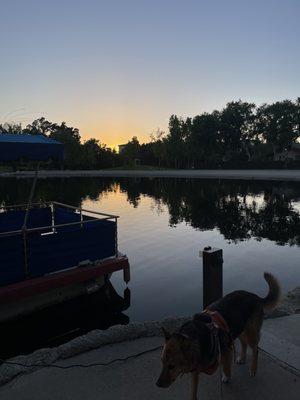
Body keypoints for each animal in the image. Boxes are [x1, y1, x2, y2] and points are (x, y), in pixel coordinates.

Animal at [157, 272, 282, 400]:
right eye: (162, 361)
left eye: (172, 366)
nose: (158, 384)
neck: (197, 337)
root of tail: (256, 297)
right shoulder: (195, 369)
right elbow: (193, 390)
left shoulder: (227, 350)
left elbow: (226, 366)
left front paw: (226, 376)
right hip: (237, 329)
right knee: (244, 343)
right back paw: (242, 358)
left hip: (250, 333)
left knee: (255, 350)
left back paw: (253, 369)